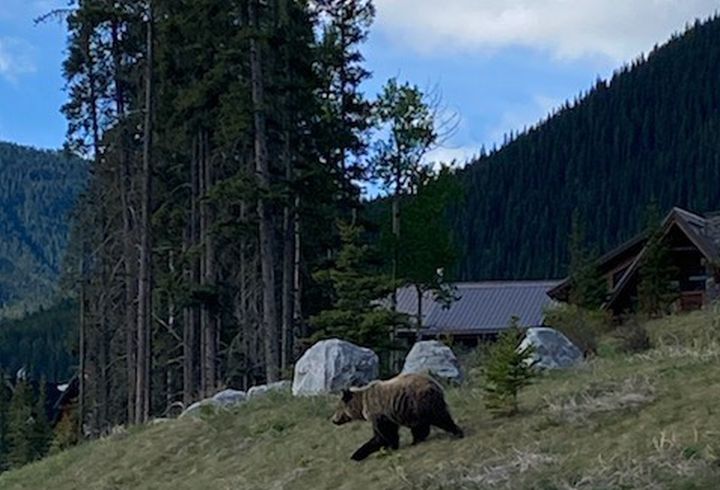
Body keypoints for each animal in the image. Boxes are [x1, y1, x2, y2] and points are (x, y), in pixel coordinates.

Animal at [331, 373, 464, 461]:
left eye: (338, 408)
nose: (333, 420)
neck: (362, 405)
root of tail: (435, 383)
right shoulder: (389, 415)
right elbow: (389, 432)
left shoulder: (379, 413)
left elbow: (382, 435)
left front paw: (357, 455)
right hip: (414, 409)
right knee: (422, 425)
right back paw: (416, 440)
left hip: (420, 401)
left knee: (440, 417)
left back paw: (457, 432)